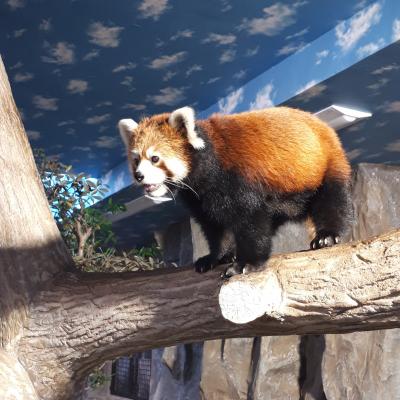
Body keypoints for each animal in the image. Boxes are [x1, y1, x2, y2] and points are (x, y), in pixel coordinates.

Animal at [119, 106, 354, 278]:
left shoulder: (238, 180)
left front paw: (246, 263)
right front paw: (217, 256)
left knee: (331, 200)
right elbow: (215, 227)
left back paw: (327, 235)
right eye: (136, 160)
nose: (139, 176)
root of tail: (318, 123)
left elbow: (251, 221)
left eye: (155, 158)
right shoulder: (201, 199)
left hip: (327, 163)